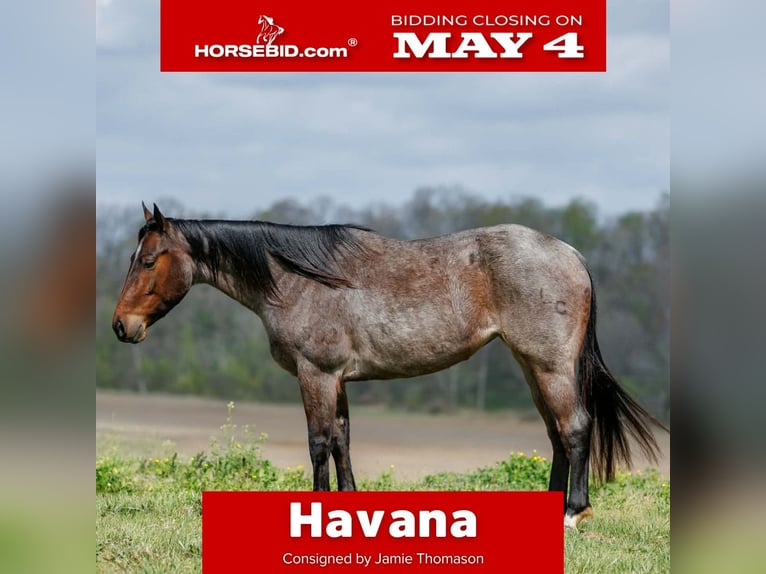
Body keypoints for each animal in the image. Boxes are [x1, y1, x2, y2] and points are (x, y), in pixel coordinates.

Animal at [113, 203, 667, 528]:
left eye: (148, 260)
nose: (122, 326)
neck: (299, 280)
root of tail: (570, 253)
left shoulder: (317, 375)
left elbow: (318, 443)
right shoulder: (337, 379)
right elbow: (342, 441)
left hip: (550, 365)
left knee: (575, 428)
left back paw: (574, 513)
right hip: (532, 367)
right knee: (555, 432)